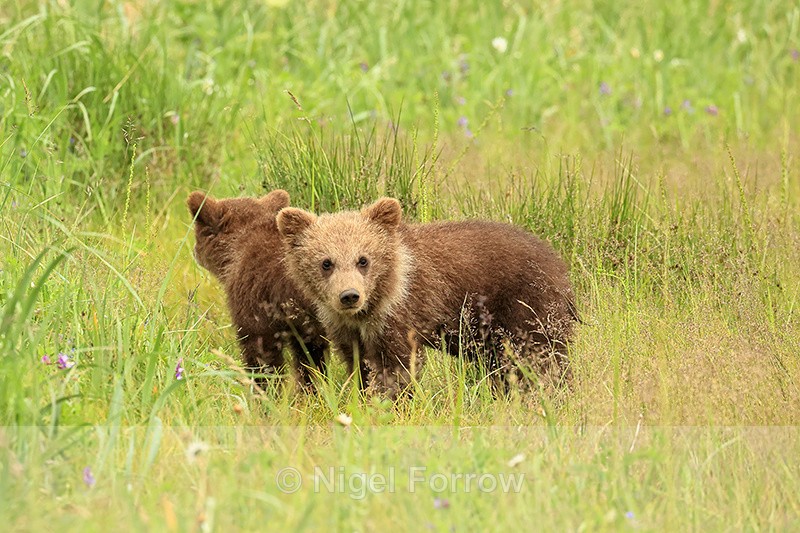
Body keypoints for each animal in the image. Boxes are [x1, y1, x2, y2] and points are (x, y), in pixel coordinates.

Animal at [275, 197, 578, 398]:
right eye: (326, 263)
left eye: (363, 259)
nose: (349, 296)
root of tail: (559, 265)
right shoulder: (347, 329)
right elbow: (359, 365)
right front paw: (362, 396)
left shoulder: (400, 315)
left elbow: (396, 366)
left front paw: (390, 401)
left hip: (526, 307)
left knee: (540, 358)